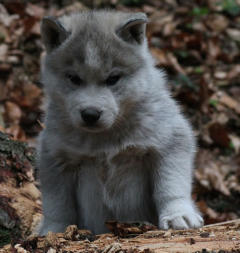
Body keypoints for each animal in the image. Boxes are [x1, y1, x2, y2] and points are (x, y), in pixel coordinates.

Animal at [38, 9, 203, 235]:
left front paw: (178, 214)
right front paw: (53, 231)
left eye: (113, 79)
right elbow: (57, 204)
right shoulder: (54, 156)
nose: (90, 114)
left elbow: (170, 186)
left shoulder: (172, 139)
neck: (105, 139)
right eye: (73, 78)